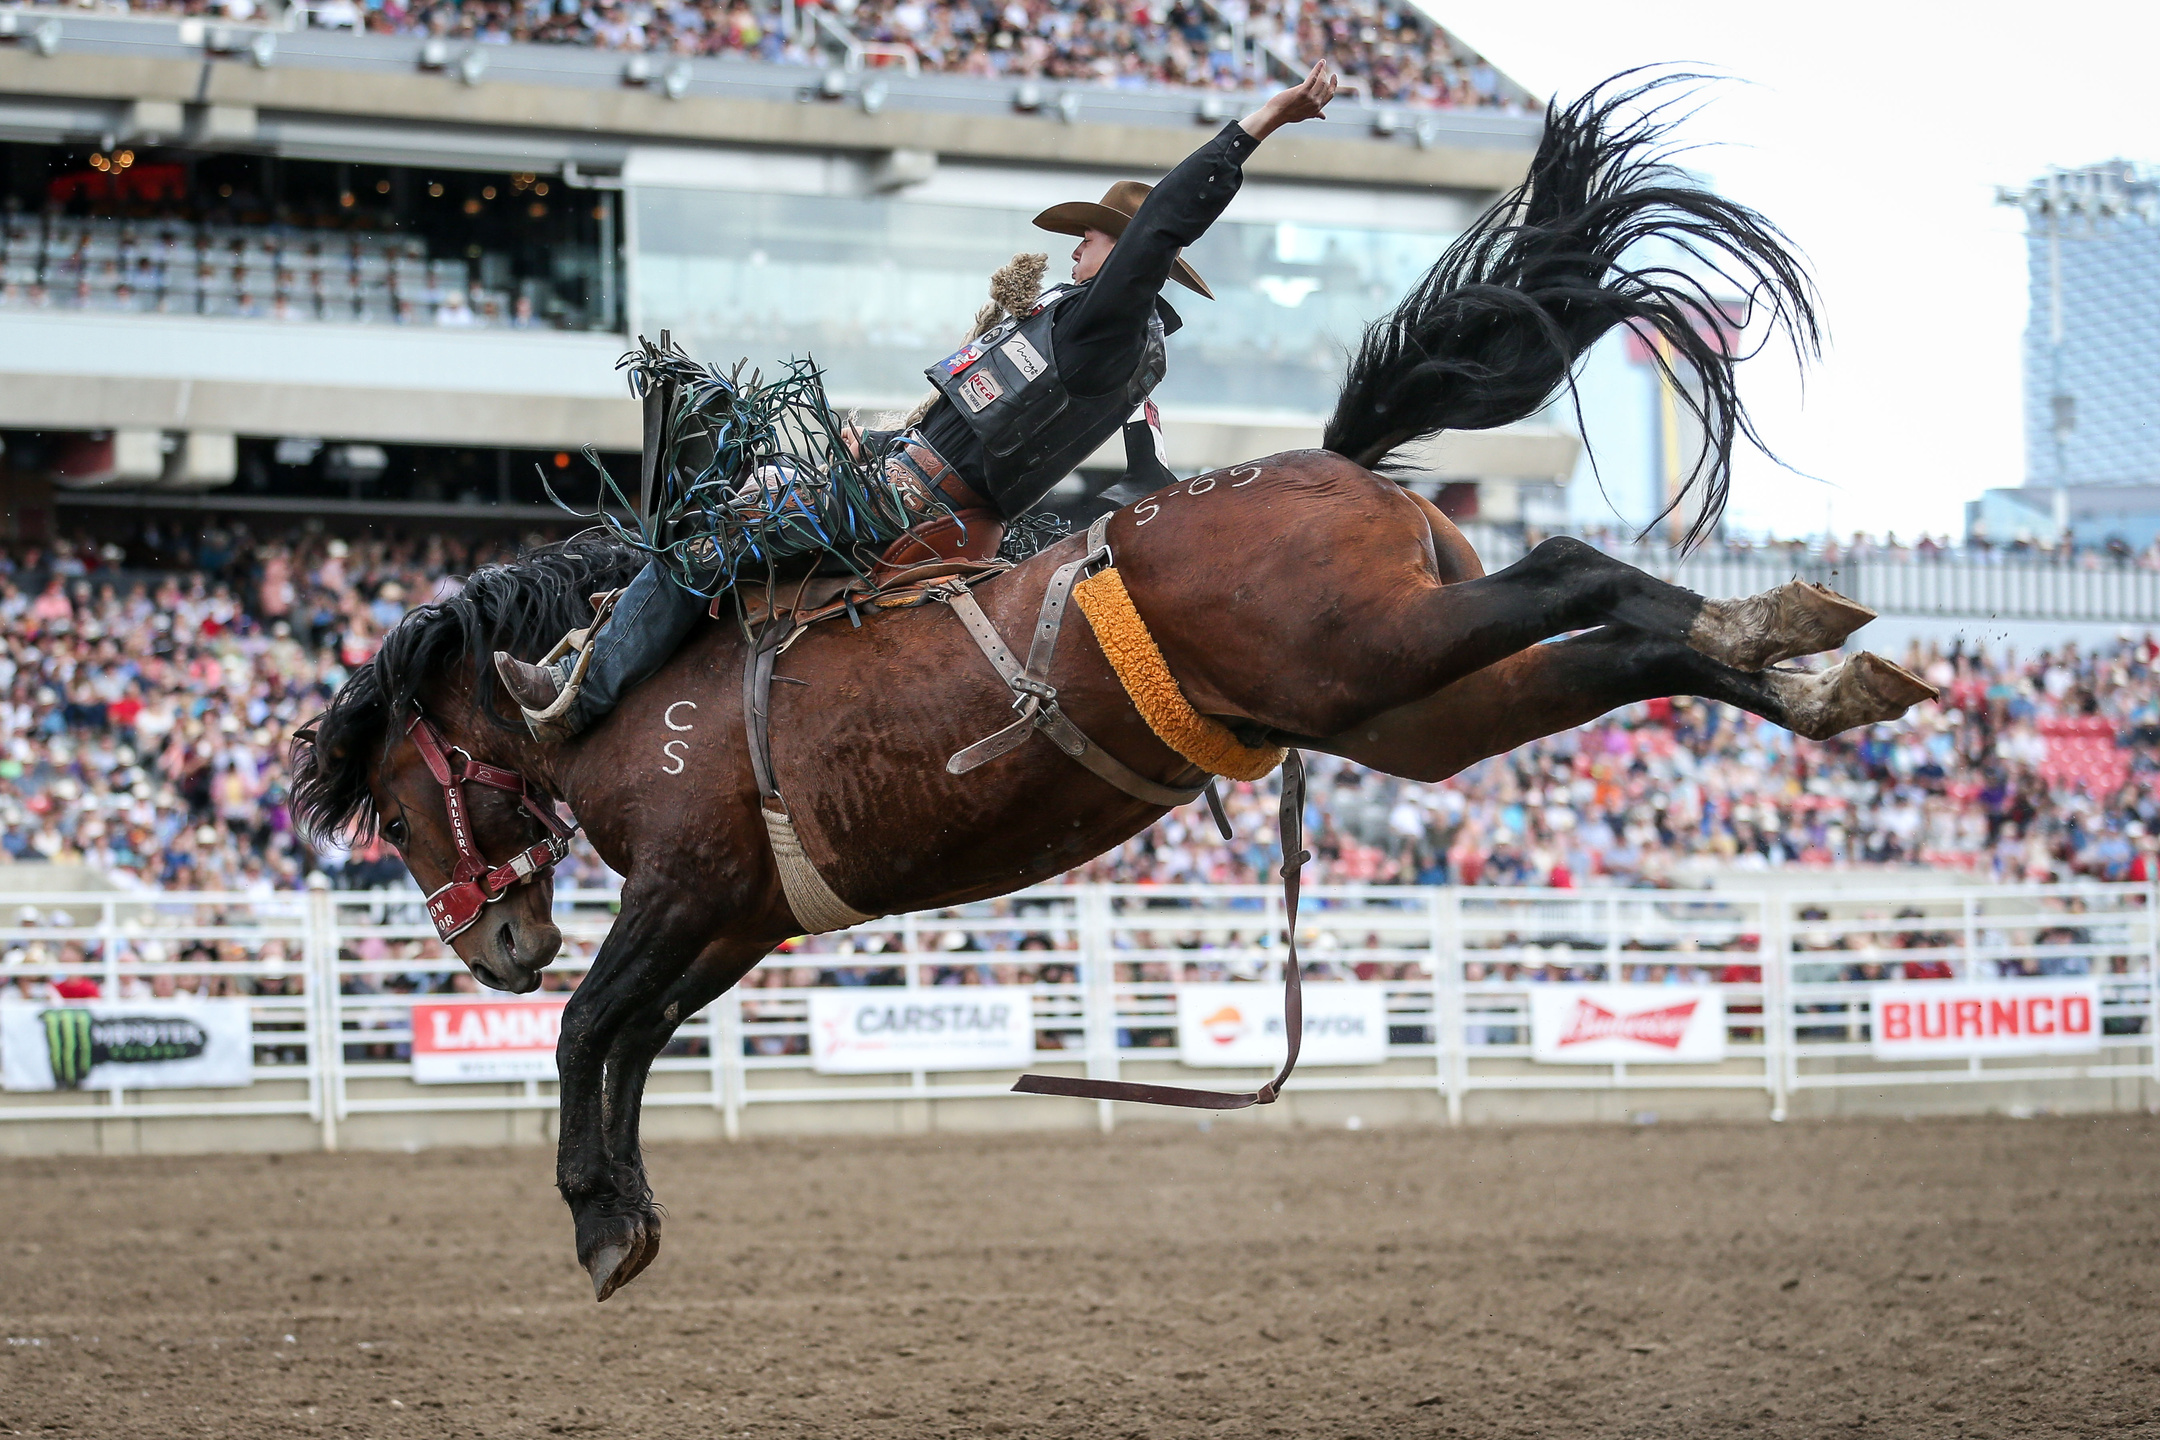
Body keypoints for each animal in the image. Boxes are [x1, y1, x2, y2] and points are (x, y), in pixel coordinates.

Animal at [282, 78, 1944, 1303]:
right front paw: (620, 1209)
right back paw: (1821, 665)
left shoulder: (688, 884)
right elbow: (631, 1040)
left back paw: (1780, 628)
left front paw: (597, 1218)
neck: (647, 685)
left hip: (1382, 652)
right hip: (1408, 704)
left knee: (1576, 570)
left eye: (392, 810)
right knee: (1606, 641)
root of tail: (1329, 459)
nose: (492, 945)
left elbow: (586, 1034)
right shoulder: (741, 914)